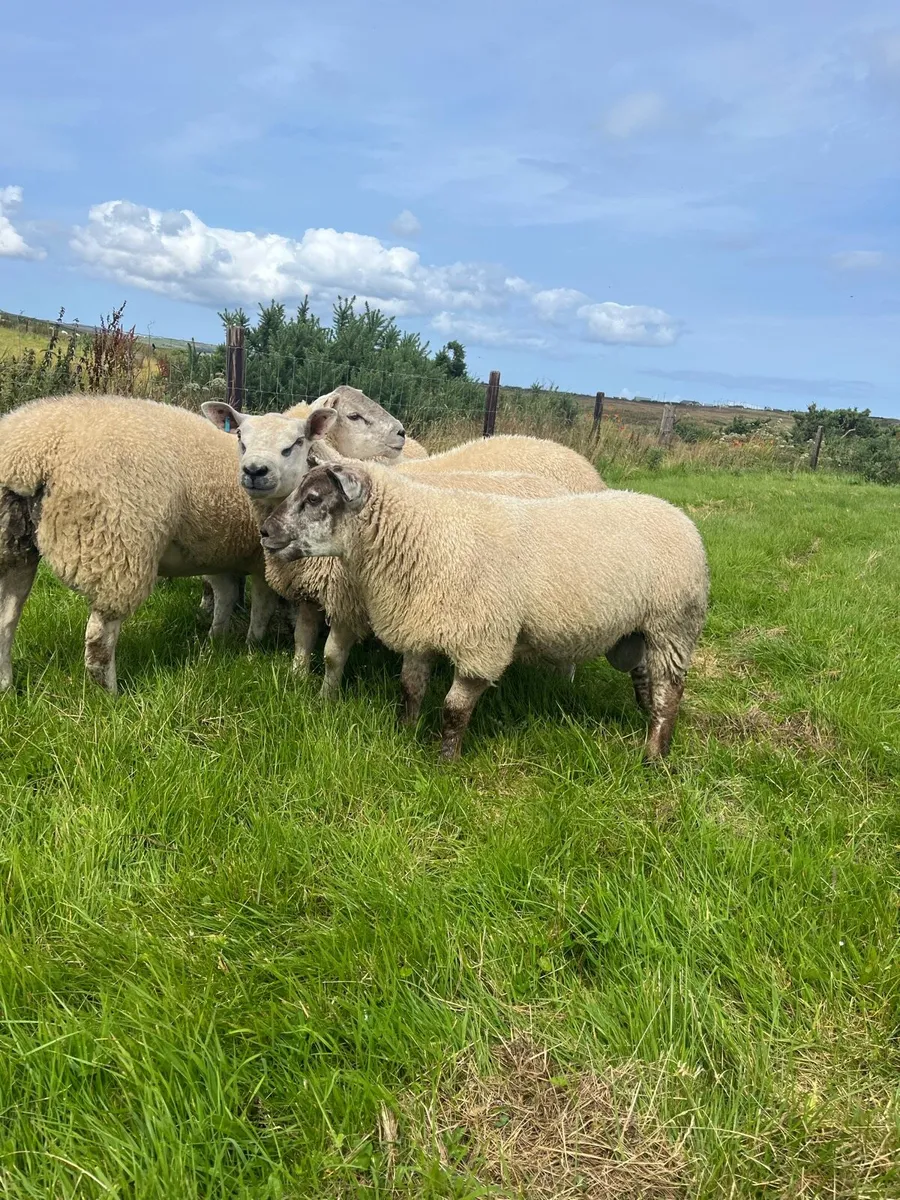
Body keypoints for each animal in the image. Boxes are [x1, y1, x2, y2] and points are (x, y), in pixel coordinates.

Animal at [0, 392, 401, 694]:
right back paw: (109, 696)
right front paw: (253, 646)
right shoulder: (258, 559)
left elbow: (226, 597)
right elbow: (261, 605)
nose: (400, 433)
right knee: (99, 642)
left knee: (6, 620)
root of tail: (30, 452)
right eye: (355, 416)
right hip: (118, 547)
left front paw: (216, 643)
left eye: (295, 443)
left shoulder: (222, 552)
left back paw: (6, 685)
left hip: (13, 545)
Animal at [259, 462, 709, 761]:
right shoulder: (420, 627)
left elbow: (454, 709)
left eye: (314, 499)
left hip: (673, 623)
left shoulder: (481, 642)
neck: (422, 536)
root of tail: (678, 514)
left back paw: (654, 756)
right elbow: (410, 690)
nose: (265, 531)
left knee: (670, 692)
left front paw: (445, 761)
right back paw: (648, 725)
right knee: (646, 680)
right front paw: (405, 734)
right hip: (642, 631)